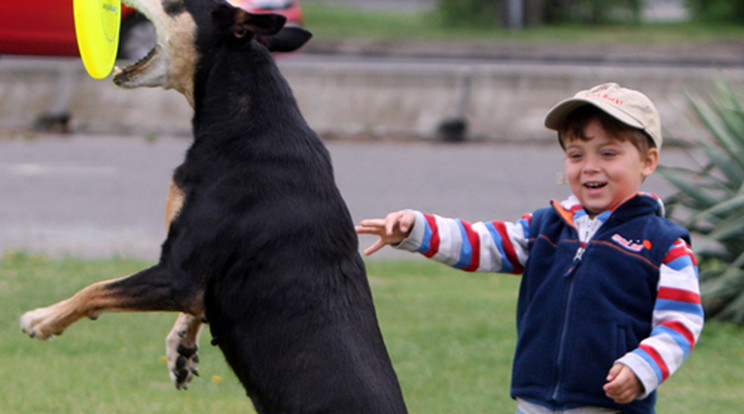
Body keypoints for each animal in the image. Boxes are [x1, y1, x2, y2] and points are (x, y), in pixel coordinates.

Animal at [18, 1, 406, 412]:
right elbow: (194, 307)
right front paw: (181, 348)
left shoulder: (178, 274)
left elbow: (94, 289)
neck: (247, 119)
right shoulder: (197, 280)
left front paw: (42, 319)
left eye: (174, 4)